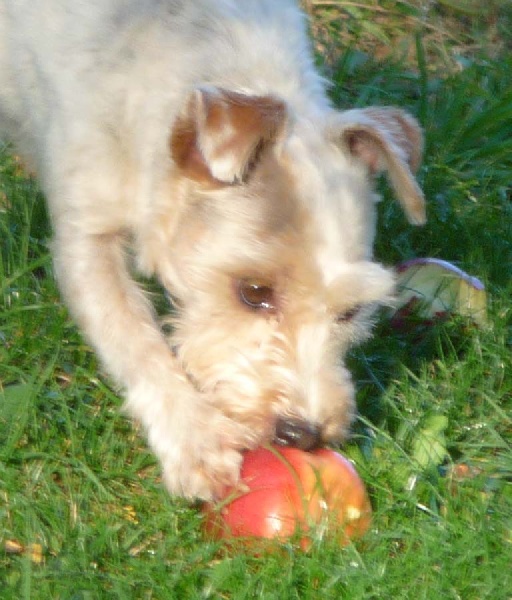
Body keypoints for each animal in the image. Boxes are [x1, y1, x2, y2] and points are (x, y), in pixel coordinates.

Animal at [0, 1, 424, 502]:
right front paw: (196, 443)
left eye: (351, 312)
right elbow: (134, 340)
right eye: (253, 291)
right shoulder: (86, 235)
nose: (303, 434)